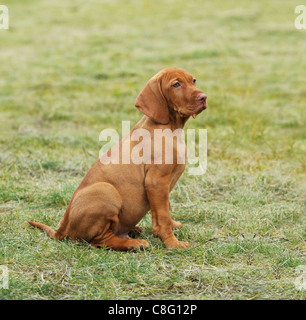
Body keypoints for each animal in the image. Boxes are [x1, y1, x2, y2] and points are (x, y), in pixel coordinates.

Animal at [28, 67, 207, 251]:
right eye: (176, 84)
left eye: (193, 81)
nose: (204, 97)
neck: (170, 128)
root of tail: (62, 229)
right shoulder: (156, 182)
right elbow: (162, 217)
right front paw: (172, 243)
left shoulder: (163, 187)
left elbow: (166, 208)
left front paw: (173, 225)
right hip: (106, 191)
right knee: (99, 240)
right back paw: (134, 243)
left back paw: (133, 231)